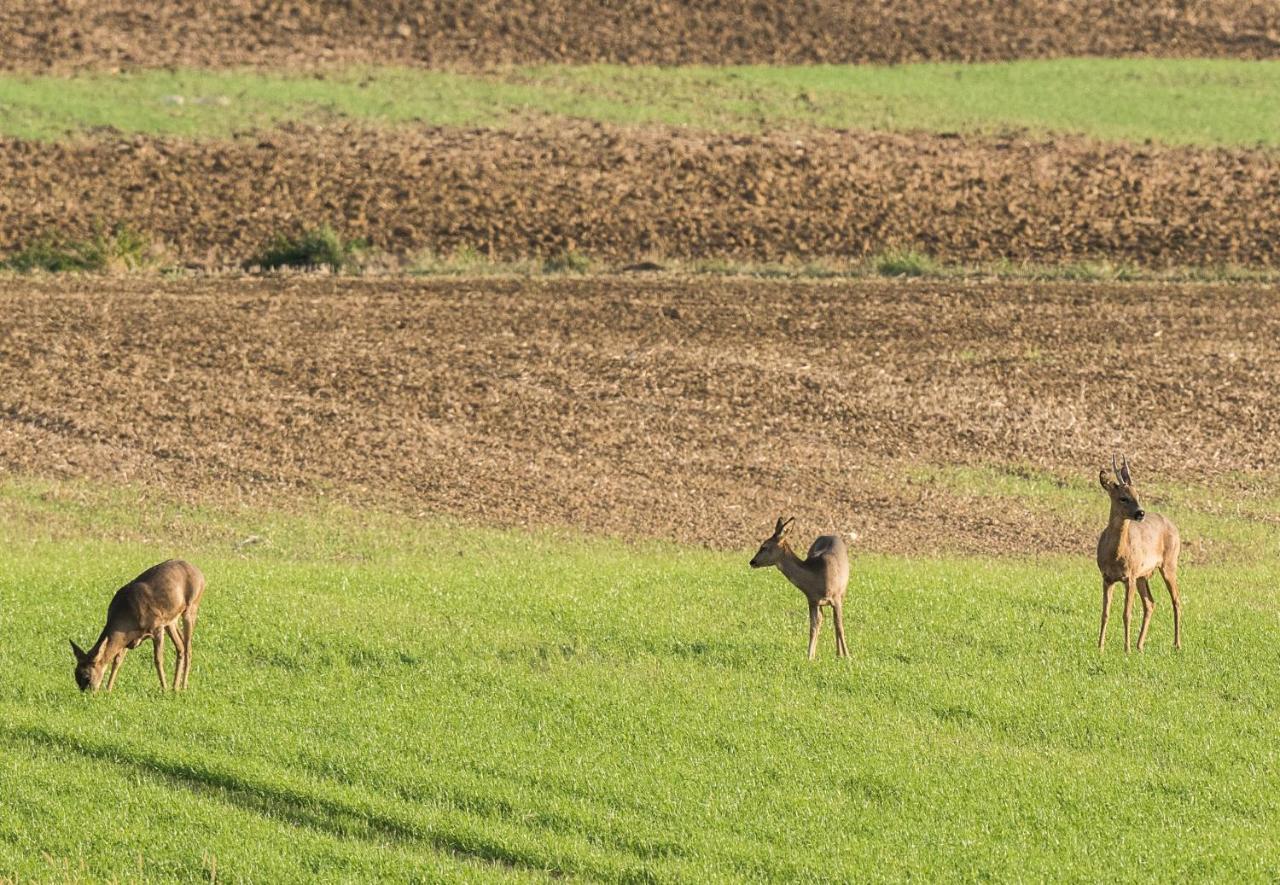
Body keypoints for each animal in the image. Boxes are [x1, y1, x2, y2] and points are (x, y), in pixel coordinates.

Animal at [68, 560, 204, 691]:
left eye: (87, 677)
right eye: (75, 675)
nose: (87, 693)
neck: (128, 615)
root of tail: (200, 574)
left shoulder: (157, 627)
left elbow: (158, 659)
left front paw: (164, 688)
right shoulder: (127, 638)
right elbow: (117, 661)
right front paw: (108, 689)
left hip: (192, 607)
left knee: (188, 648)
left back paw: (183, 686)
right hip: (171, 620)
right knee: (181, 646)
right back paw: (175, 687)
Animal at [747, 514, 849, 660]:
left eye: (764, 546)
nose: (752, 561)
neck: (817, 576)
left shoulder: (836, 597)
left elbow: (839, 626)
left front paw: (847, 656)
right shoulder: (812, 600)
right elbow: (813, 627)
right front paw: (810, 657)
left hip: (843, 592)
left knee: (835, 623)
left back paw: (839, 653)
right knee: (821, 620)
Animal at [1095, 455, 1182, 650]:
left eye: (1138, 495)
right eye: (1123, 498)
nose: (1140, 512)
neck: (1116, 555)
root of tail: (1174, 526)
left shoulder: (1130, 576)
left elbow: (1126, 613)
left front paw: (1125, 649)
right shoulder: (1107, 578)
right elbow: (1105, 613)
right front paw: (1100, 647)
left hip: (1169, 564)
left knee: (1176, 600)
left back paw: (1176, 644)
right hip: (1143, 574)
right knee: (1150, 603)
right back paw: (1139, 645)